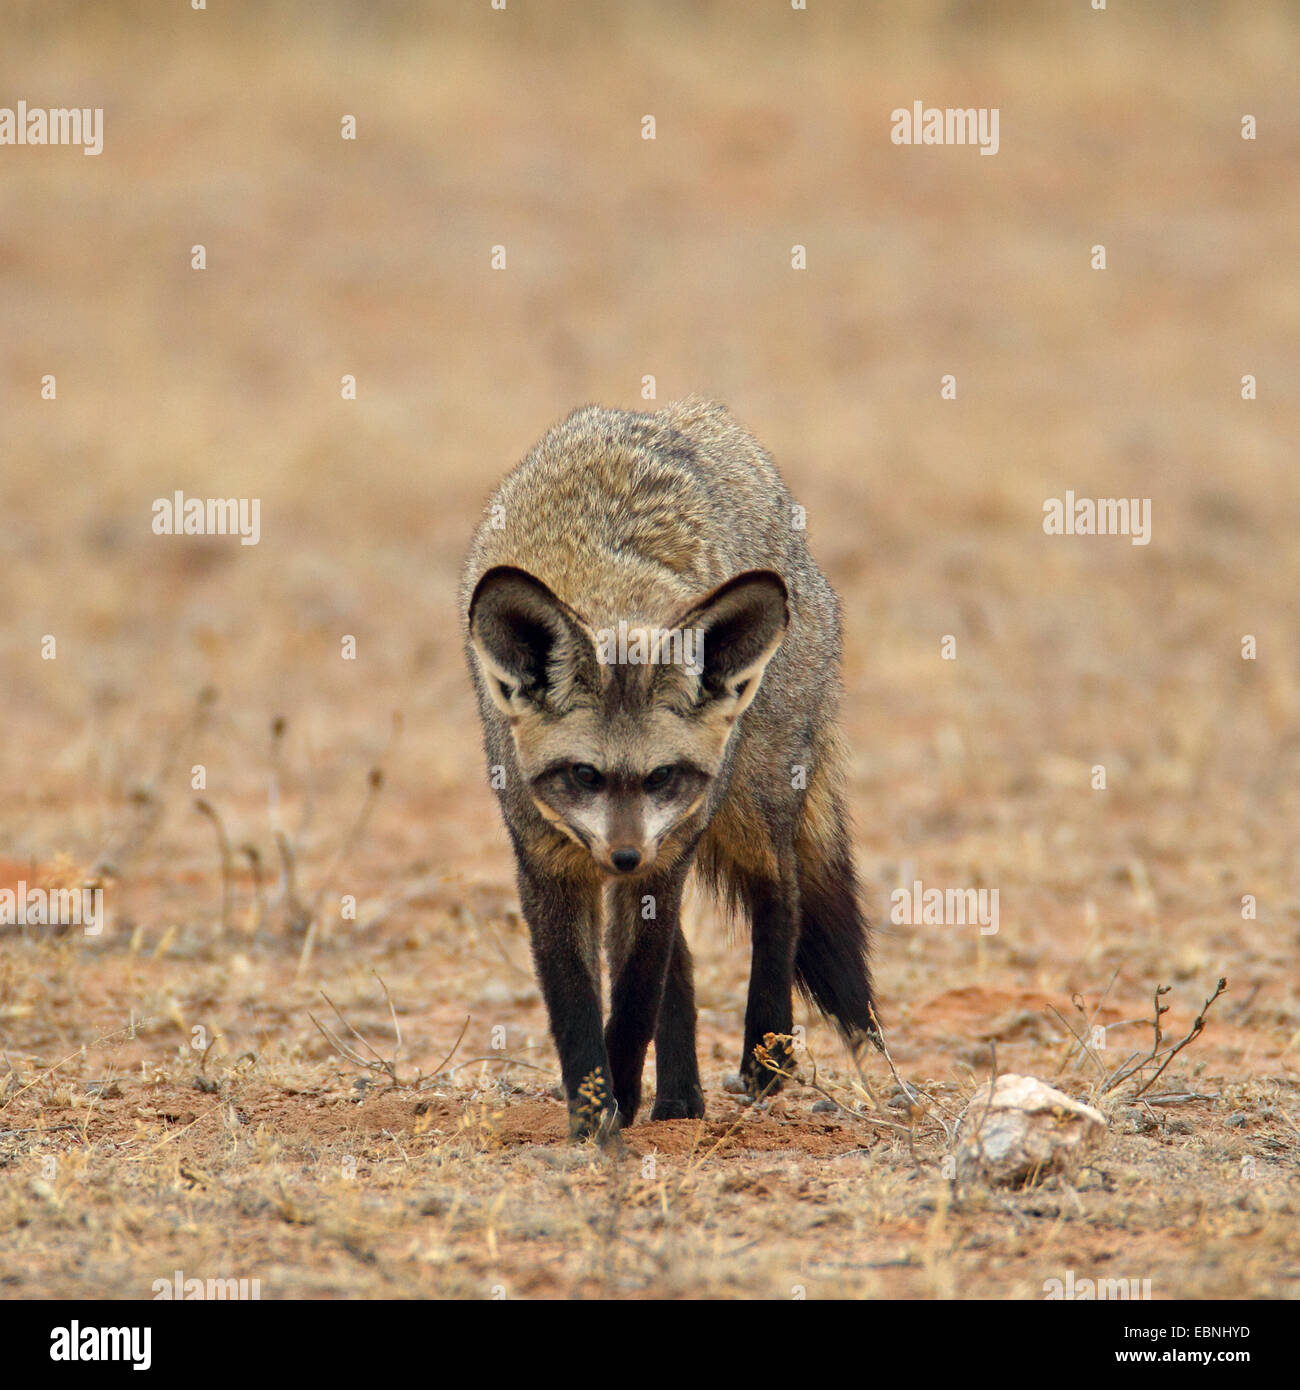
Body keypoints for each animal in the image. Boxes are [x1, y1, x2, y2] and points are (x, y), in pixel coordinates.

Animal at [461, 400, 877, 1139]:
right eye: (584, 777)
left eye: (660, 777)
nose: (623, 856)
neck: (608, 573)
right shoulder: (546, 862)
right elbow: (580, 1003)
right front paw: (594, 1113)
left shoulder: (668, 851)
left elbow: (633, 1000)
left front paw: (617, 1100)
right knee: (681, 966)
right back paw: (680, 1099)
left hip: (748, 805)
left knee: (783, 890)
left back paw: (767, 1049)